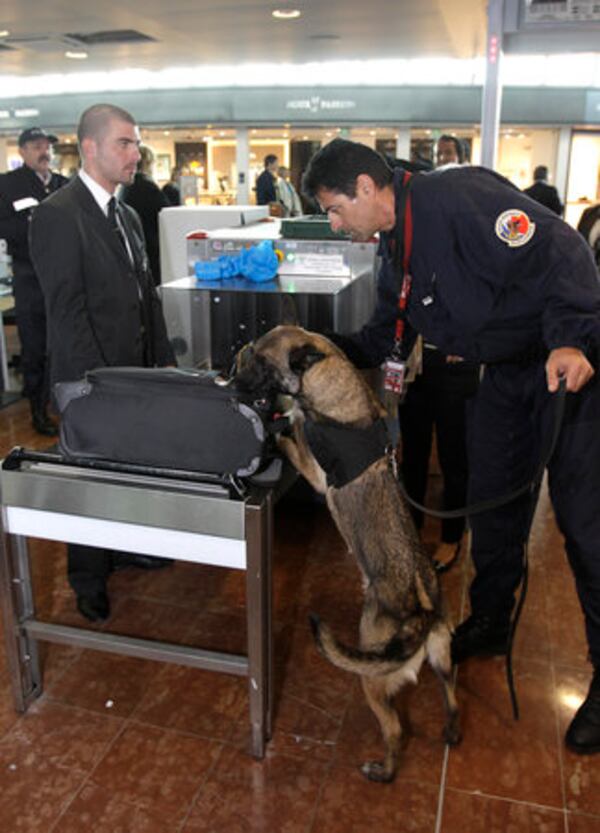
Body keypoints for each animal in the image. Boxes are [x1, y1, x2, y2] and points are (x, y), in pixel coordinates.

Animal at [234, 324, 460, 780]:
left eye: (262, 363)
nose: (231, 385)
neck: (326, 375)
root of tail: (421, 615)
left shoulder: (314, 472)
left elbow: (289, 433)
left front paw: (277, 424)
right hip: (443, 658)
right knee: (452, 696)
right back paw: (450, 732)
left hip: (371, 679)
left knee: (395, 729)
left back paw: (383, 772)